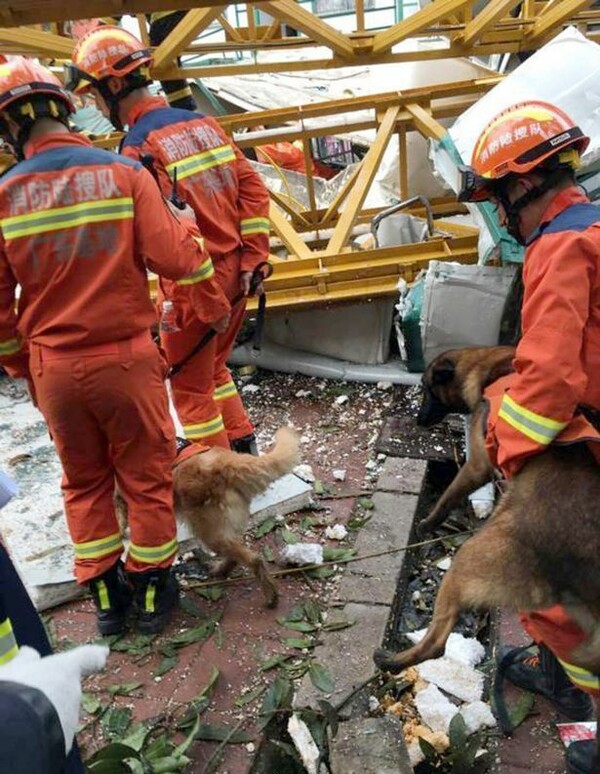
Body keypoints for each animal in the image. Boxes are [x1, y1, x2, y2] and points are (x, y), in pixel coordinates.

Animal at [116, 428, 300, 608]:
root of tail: (225, 462)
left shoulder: (121, 499)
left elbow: (120, 519)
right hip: (224, 528)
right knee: (236, 553)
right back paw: (221, 570)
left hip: (209, 532)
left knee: (254, 559)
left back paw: (270, 595)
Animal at [372, 346, 600, 680]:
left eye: (427, 389)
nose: (419, 420)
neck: (493, 367)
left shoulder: (476, 465)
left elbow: (449, 495)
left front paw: (428, 522)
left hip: (466, 561)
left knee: (436, 643)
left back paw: (393, 660)